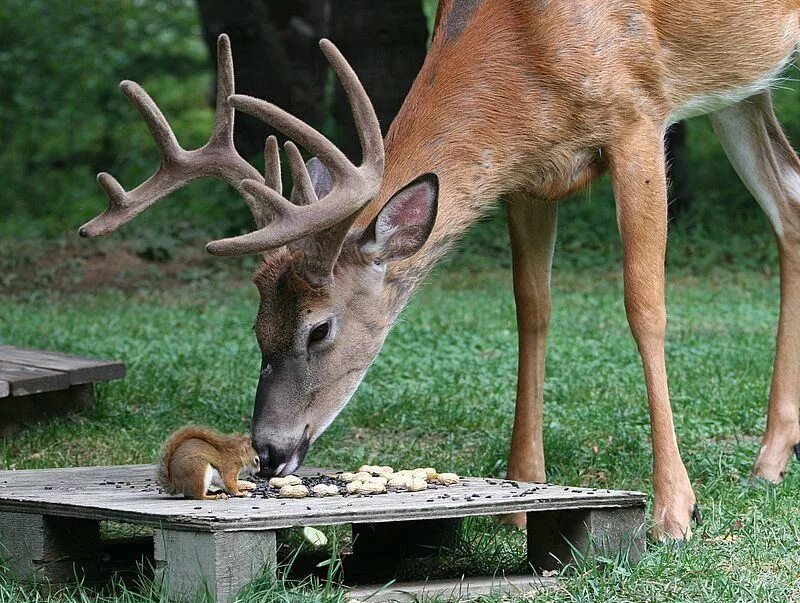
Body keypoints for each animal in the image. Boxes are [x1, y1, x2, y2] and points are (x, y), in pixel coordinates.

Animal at [79, 1, 800, 544]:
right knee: (789, 201)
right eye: (258, 327)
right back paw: (771, 457)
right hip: (743, 85)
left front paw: (675, 510)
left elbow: (644, 306)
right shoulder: (529, 174)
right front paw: (522, 496)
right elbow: (531, 311)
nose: (269, 451)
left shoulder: (638, 119)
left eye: (319, 328)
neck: (530, 43)